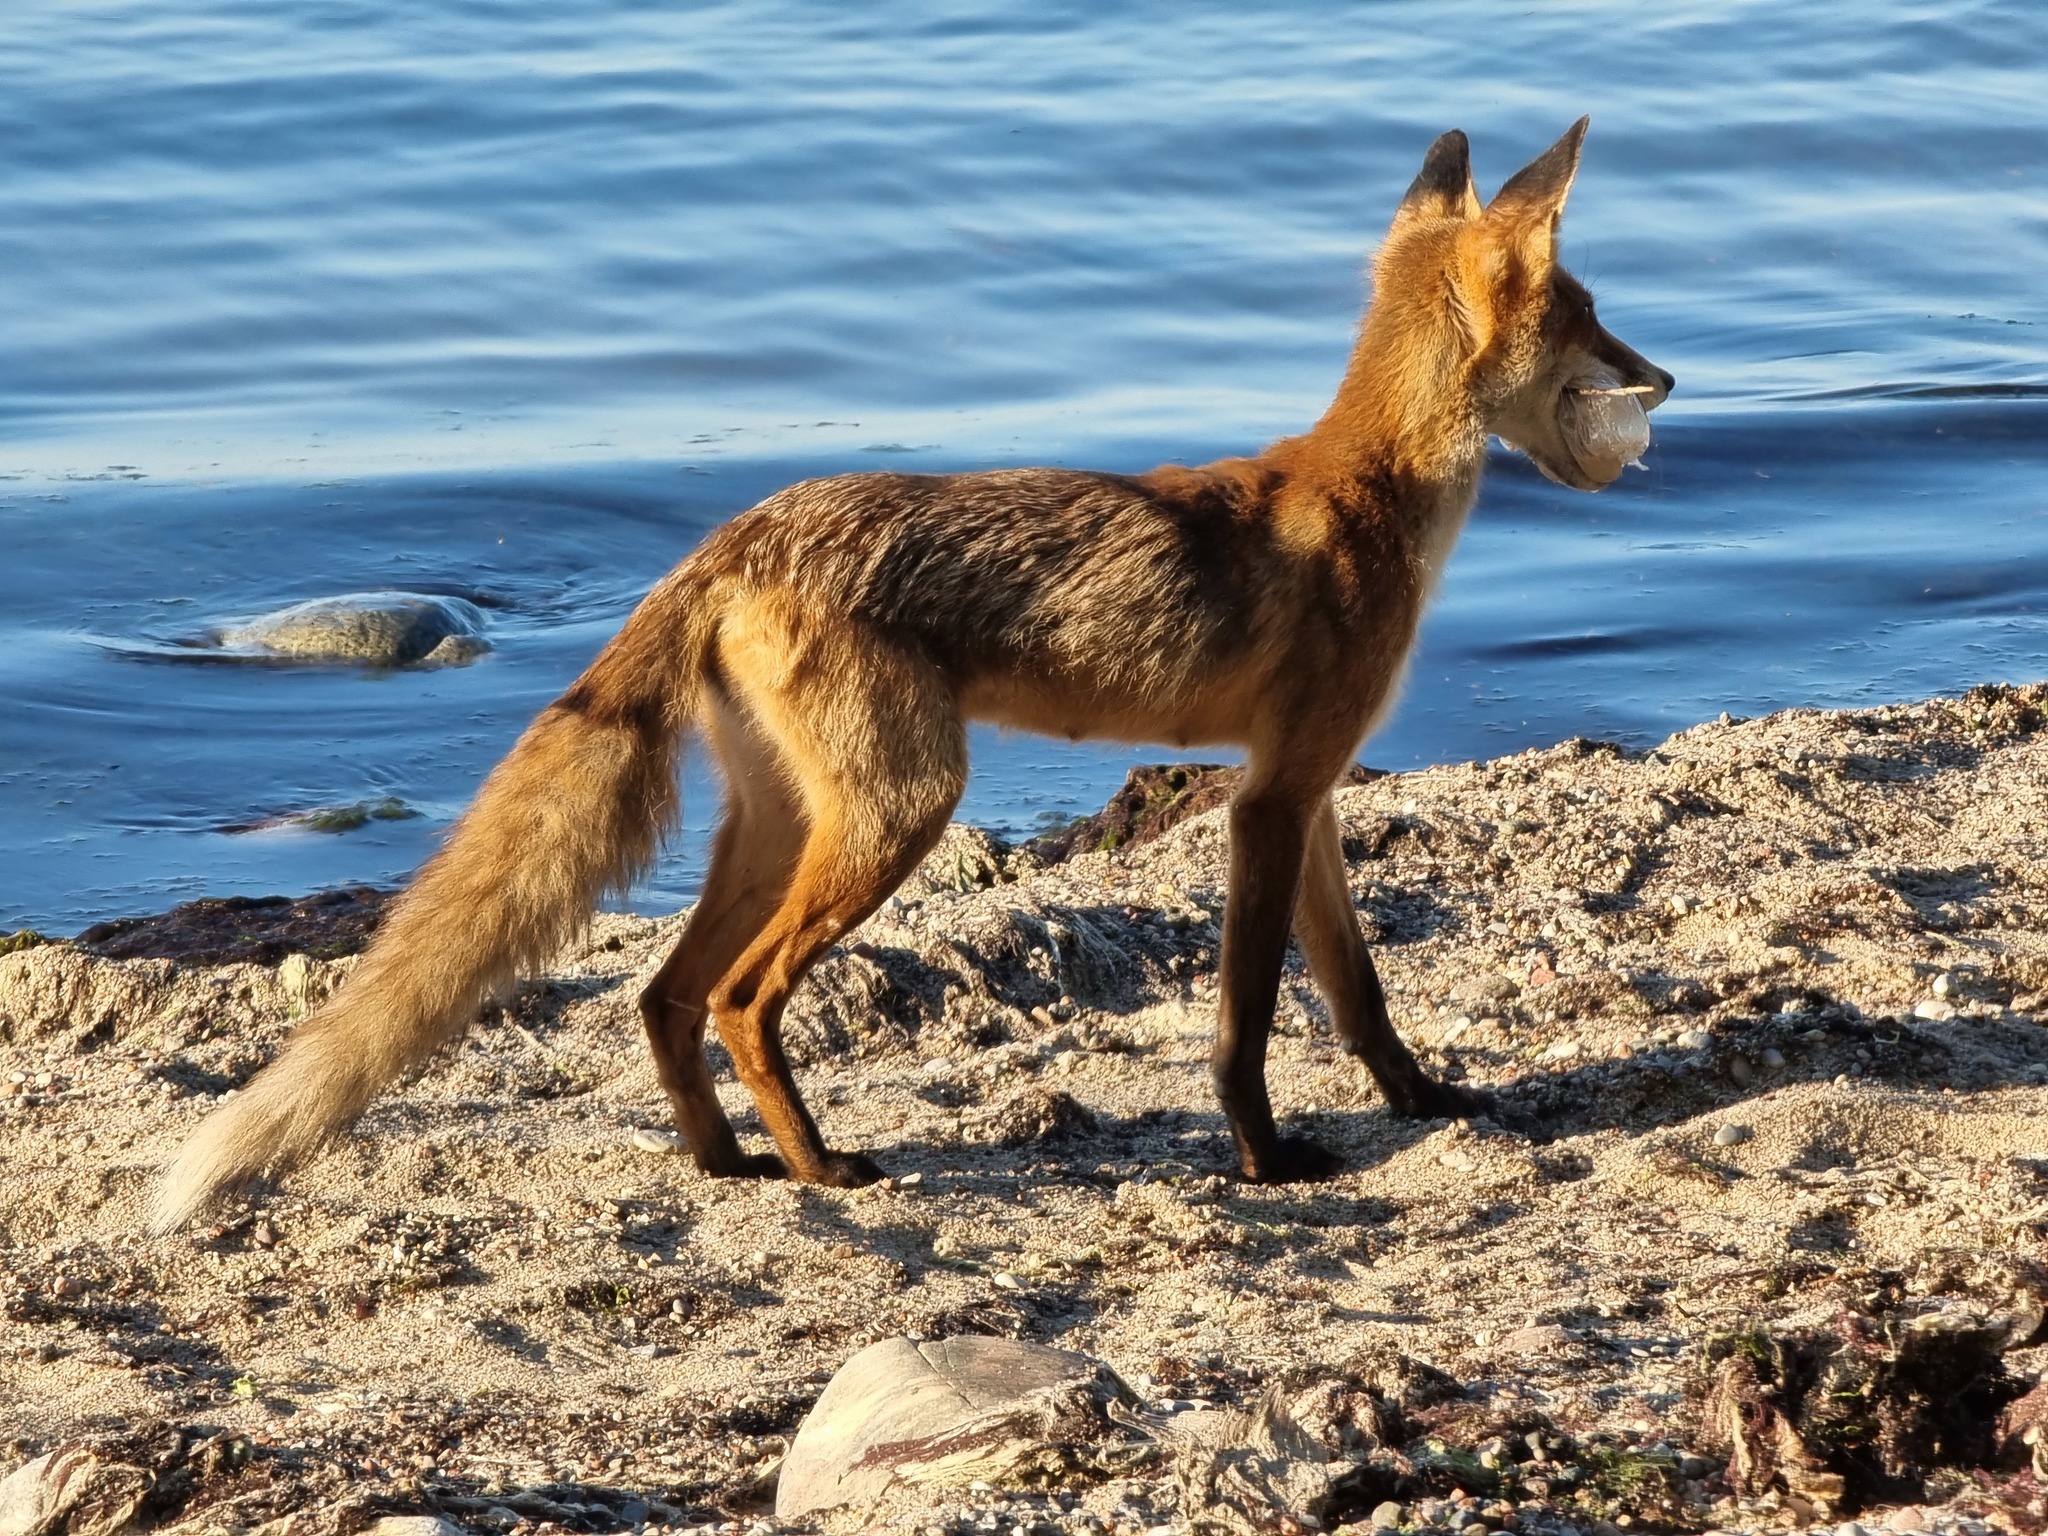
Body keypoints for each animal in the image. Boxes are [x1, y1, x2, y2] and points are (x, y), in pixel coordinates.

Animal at [155, 120, 1662, 1236]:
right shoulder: (1270, 800)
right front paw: (1264, 1160)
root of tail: (735, 534)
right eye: (1588, 317)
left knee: (664, 996)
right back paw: (821, 1169)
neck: (1364, 494)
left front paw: (1421, 1104)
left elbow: (1357, 991)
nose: (1665, 379)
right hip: (901, 810)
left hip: (784, 825)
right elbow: (1244, 1018)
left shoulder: (1310, 793)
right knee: (737, 998)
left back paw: (730, 1167)